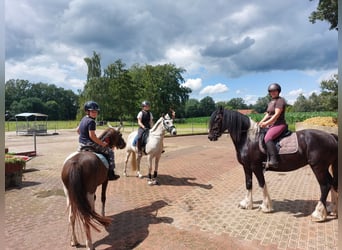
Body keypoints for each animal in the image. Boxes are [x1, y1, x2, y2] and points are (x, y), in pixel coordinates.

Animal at [207, 106, 338, 222]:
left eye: (218, 118)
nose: (210, 136)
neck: (249, 139)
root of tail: (331, 136)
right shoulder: (246, 166)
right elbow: (248, 183)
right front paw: (246, 204)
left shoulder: (255, 166)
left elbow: (261, 183)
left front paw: (266, 206)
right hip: (324, 167)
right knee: (332, 183)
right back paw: (332, 209)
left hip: (318, 167)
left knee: (325, 186)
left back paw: (318, 214)